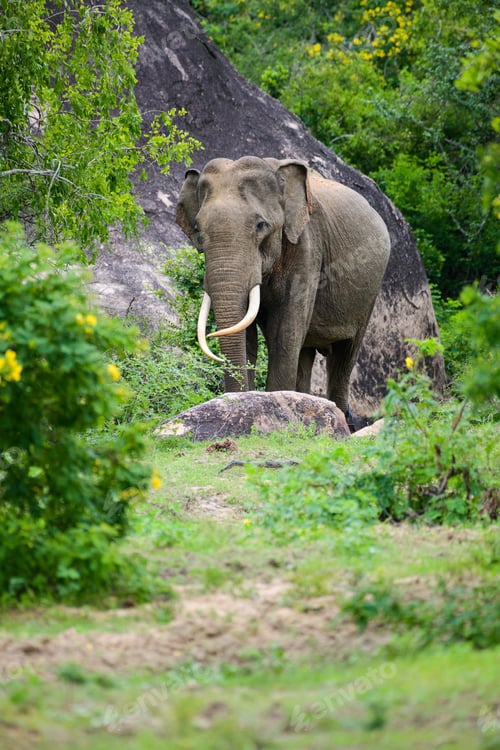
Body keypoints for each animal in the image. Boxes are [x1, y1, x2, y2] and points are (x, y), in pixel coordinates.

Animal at [176, 156, 391, 416]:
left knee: (344, 355)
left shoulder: (308, 248)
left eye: (260, 225)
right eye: (197, 230)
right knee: (306, 353)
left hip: (370, 292)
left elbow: (285, 332)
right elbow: (247, 334)